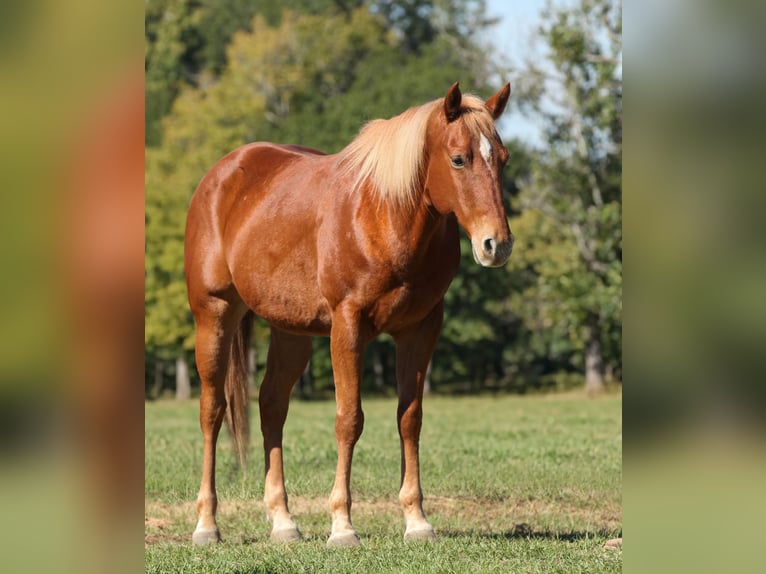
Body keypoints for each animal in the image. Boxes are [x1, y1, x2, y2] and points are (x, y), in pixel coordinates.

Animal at [184, 82, 514, 547]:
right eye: (458, 158)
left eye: (502, 159)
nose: (496, 245)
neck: (386, 218)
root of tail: (221, 174)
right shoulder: (348, 326)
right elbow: (349, 419)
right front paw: (342, 524)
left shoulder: (421, 330)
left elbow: (410, 419)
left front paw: (417, 520)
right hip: (214, 315)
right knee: (212, 410)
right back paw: (207, 524)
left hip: (292, 331)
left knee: (272, 405)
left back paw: (283, 521)